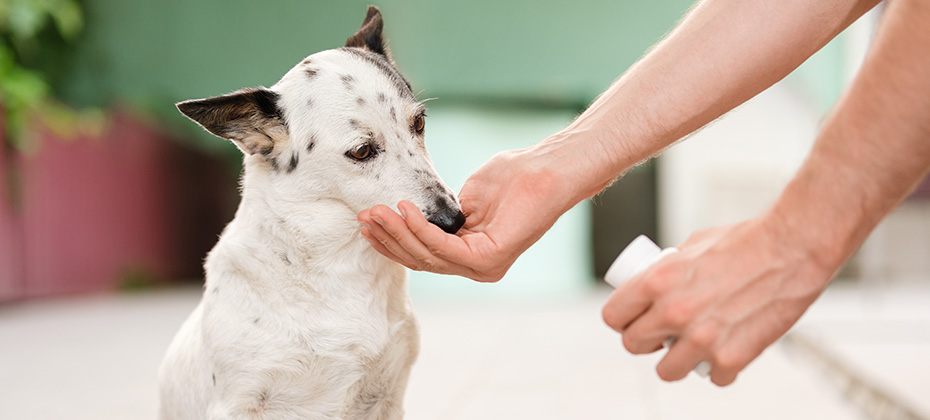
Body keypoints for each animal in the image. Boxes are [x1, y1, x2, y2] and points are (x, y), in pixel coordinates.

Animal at [159, 7, 464, 420]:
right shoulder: (237, 403)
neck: (340, 265)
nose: (454, 221)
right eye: (362, 151)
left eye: (418, 123)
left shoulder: (388, 397)